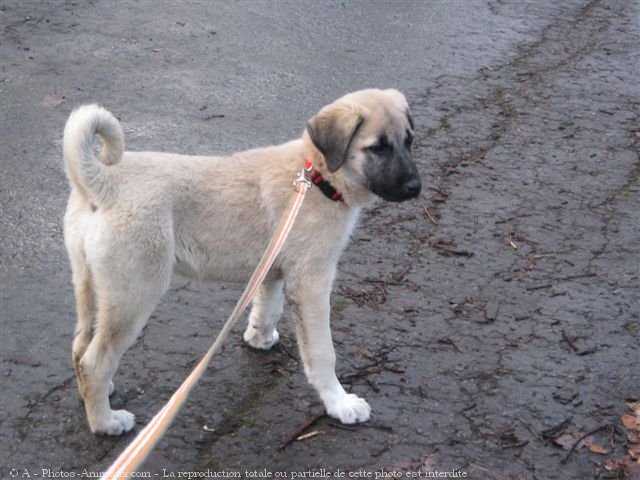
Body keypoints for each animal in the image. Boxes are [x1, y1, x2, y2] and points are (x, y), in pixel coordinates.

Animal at [63, 89, 420, 436]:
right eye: (377, 148)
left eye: (409, 140)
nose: (415, 187)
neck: (317, 177)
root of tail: (103, 182)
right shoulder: (312, 284)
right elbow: (322, 352)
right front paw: (339, 403)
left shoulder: (274, 272)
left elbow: (267, 308)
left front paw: (259, 339)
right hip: (133, 295)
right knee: (95, 361)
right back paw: (105, 423)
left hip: (91, 289)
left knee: (81, 349)